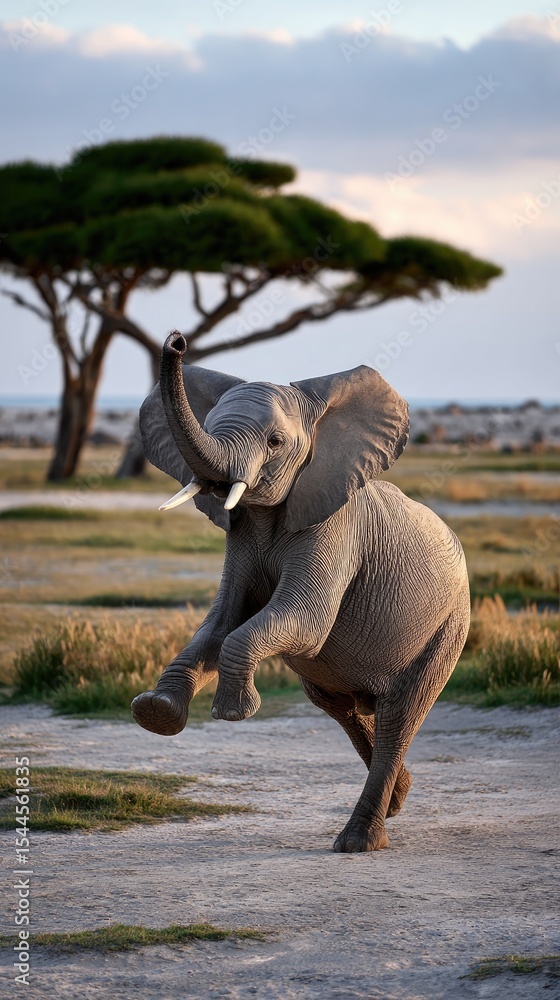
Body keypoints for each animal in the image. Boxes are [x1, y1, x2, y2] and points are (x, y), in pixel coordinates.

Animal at [132, 330, 470, 853]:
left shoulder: (336, 528)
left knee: (399, 717)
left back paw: (358, 841)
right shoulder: (242, 536)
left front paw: (233, 712)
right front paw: (156, 712)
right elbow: (219, 625)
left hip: (447, 627)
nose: (177, 341)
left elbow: (301, 623)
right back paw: (399, 796)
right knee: (340, 707)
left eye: (274, 442)